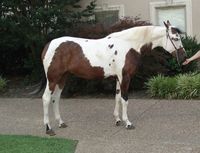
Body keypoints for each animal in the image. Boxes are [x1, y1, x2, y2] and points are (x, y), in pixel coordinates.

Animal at [41, 20, 187, 136]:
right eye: (175, 38)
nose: (184, 57)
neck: (129, 44)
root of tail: (48, 46)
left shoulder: (118, 77)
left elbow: (117, 97)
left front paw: (117, 120)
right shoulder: (125, 77)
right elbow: (125, 99)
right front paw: (128, 123)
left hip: (62, 78)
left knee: (56, 98)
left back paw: (61, 123)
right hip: (53, 79)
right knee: (47, 98)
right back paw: (48, 128)